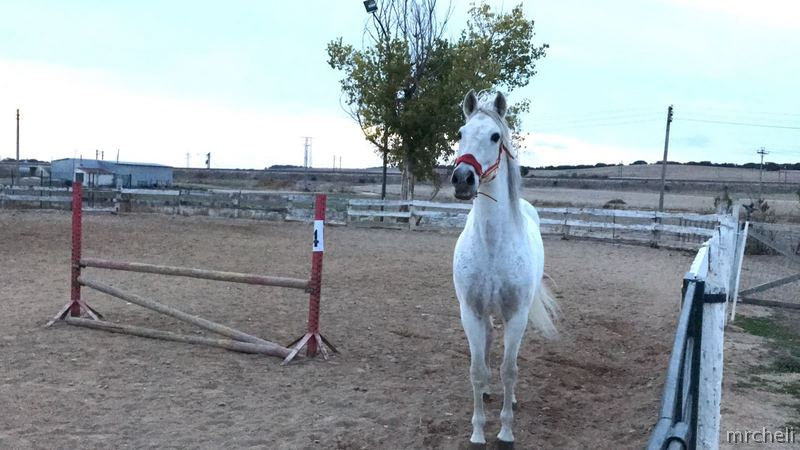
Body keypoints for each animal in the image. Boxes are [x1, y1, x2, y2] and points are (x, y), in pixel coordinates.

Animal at [451, 90, 558, 447]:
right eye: (460, 133)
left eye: (495, 136)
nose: (462, 179)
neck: (492, 243)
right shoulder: (470, 312)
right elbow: (477, 370)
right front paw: (477, 432)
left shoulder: (517, 316)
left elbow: (509, 371)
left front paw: (506, 432)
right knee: (487, 345)